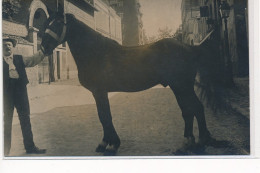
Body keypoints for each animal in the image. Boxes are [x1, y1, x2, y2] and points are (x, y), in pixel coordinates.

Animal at [39, 10, 229, 155]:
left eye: (57, 24)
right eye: (47, 24)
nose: (44, 46)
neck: (96, 52)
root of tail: (190, 48)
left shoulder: (100, 91)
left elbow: (105, 116)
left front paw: (111, 144)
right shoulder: (98, 93)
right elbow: (102, 116)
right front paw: (105, 143)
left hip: (182, 86)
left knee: (194, 108)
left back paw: (198, 142)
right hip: (180, 87)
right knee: (189, 110)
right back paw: (190, 142)